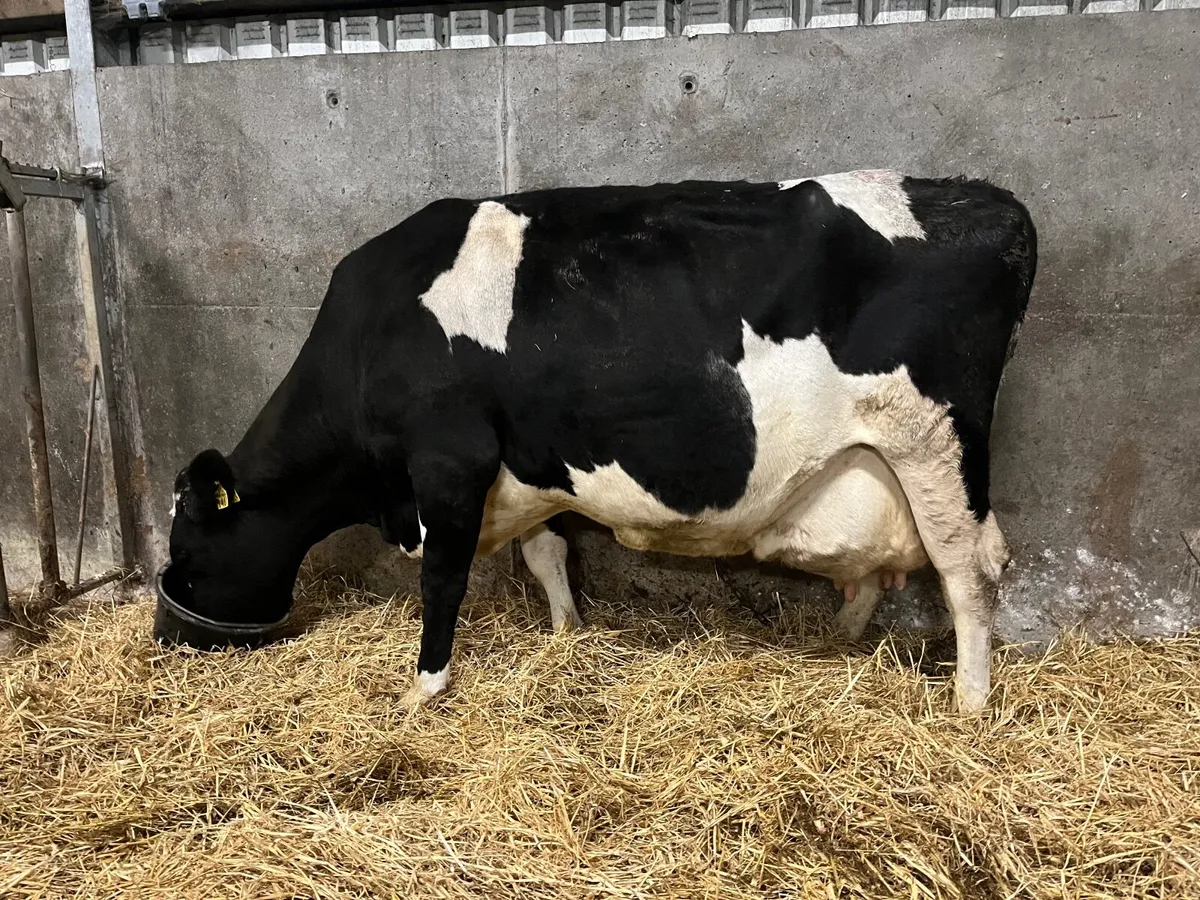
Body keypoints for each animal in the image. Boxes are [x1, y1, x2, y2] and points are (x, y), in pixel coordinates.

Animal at [163, 169, 1036, 713]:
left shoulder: (450, 458)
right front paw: (565, 632)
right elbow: (547, 552)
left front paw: (422, 688)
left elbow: (443, 579)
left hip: (932, 441)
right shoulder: (528, 463)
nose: (166, 637)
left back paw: (969, 703)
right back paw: (842, 642)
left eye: (187, 548)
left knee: (968, 568)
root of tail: (988, 201)